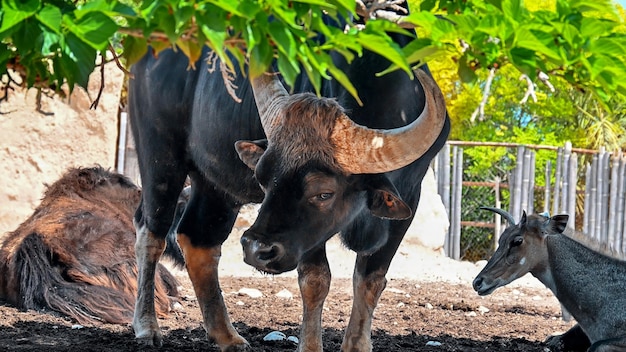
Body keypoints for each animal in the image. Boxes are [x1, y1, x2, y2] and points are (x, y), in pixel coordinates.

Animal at [128, 6, 448, 352]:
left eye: (323, 193)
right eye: (264, 180)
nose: (256, 249)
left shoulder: (409, 199)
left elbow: (371, 279)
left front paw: (358, 344)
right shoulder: (308, 237)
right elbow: (316, 279)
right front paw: (310, 345)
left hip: (214, 183)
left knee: (198, 237)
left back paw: (226, 335)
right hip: (159, 155)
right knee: (153, 232)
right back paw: (146, 325)